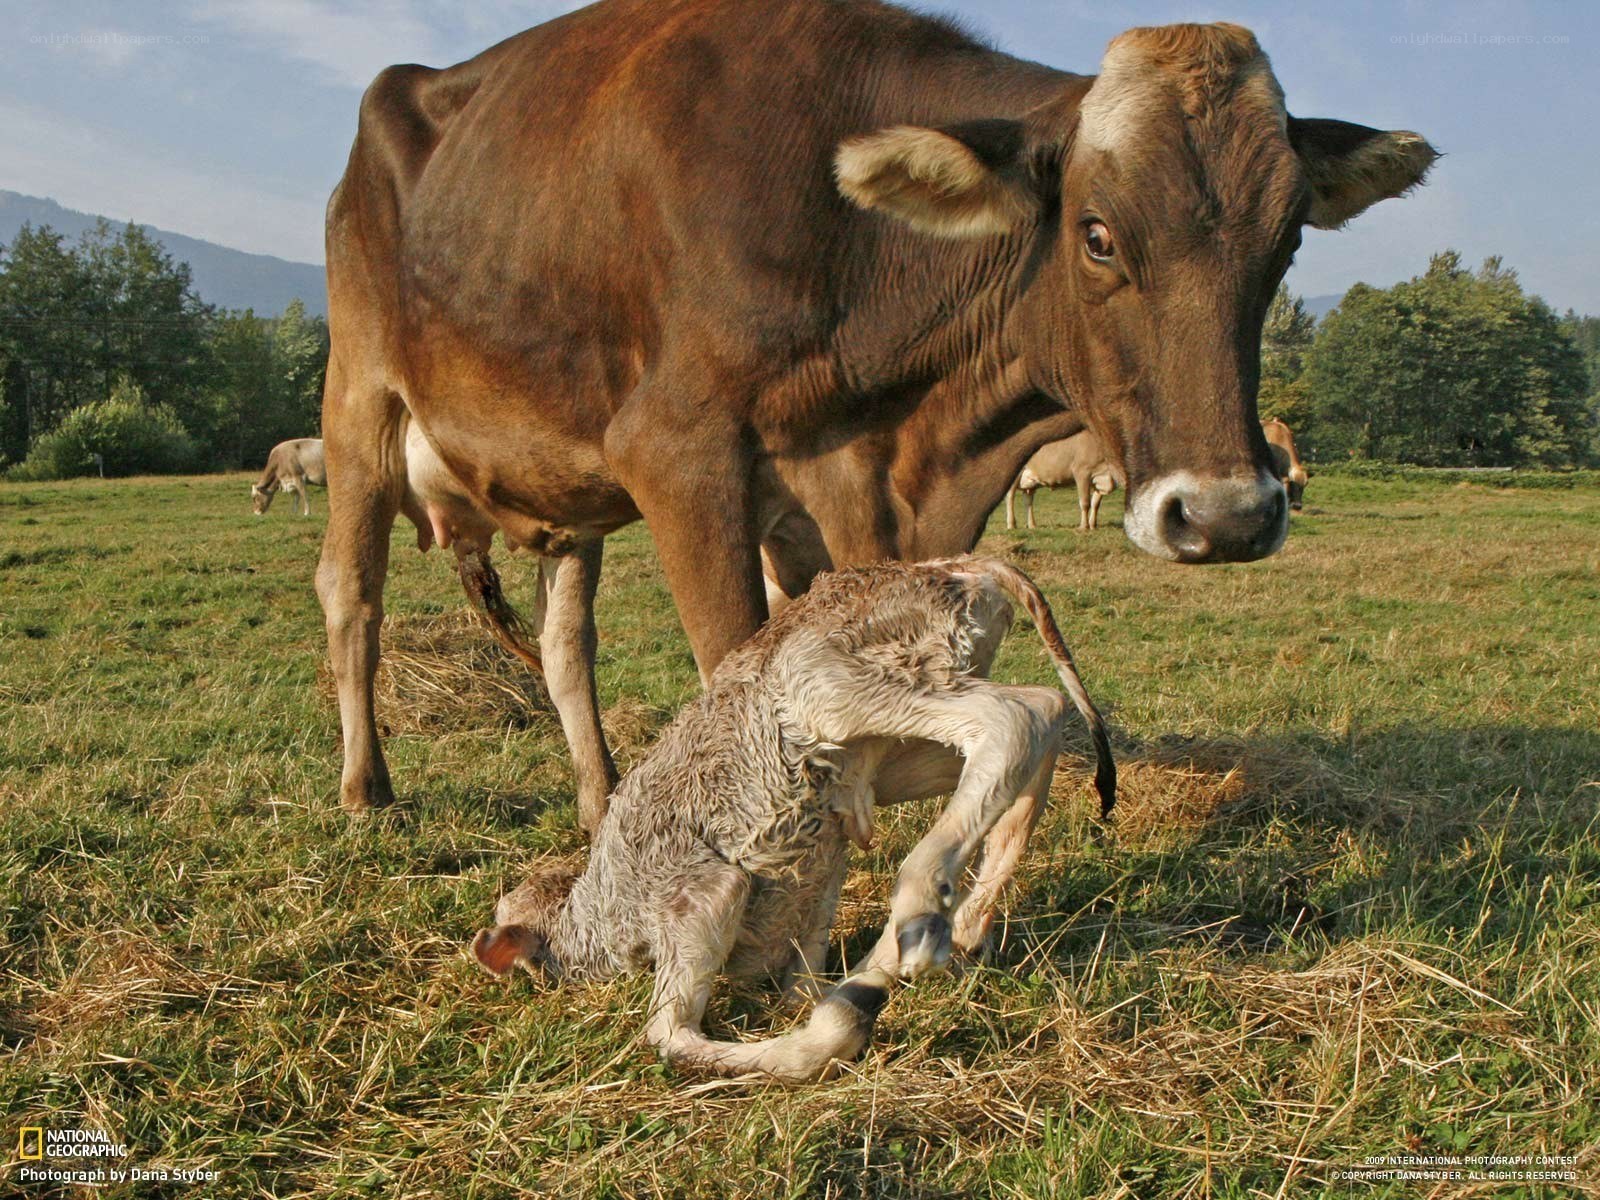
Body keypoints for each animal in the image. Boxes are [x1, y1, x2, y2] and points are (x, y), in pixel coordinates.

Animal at [316, 0, 1436, 818]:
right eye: (1098, 233)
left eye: (1288, 239)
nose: (1227, 516)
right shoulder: (679, 454)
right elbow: (739, 671)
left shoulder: (826, 494)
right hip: (360, 401)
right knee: (351, 593)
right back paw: (368, 789)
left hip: (563, 480)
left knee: (562, 647)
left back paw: (600, 801)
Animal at [472, 558, 1115, 1082]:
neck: (598, 908)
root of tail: (960, 566)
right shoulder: (821, 871)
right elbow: (803, 973)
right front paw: (847, 990)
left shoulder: (700, 899)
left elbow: (671, 1036)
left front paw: (839, 1024)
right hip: (891, 745)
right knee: (1040, 718)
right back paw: (961, 926)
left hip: (835, 687)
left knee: (1015, 715)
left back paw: (921, 899)